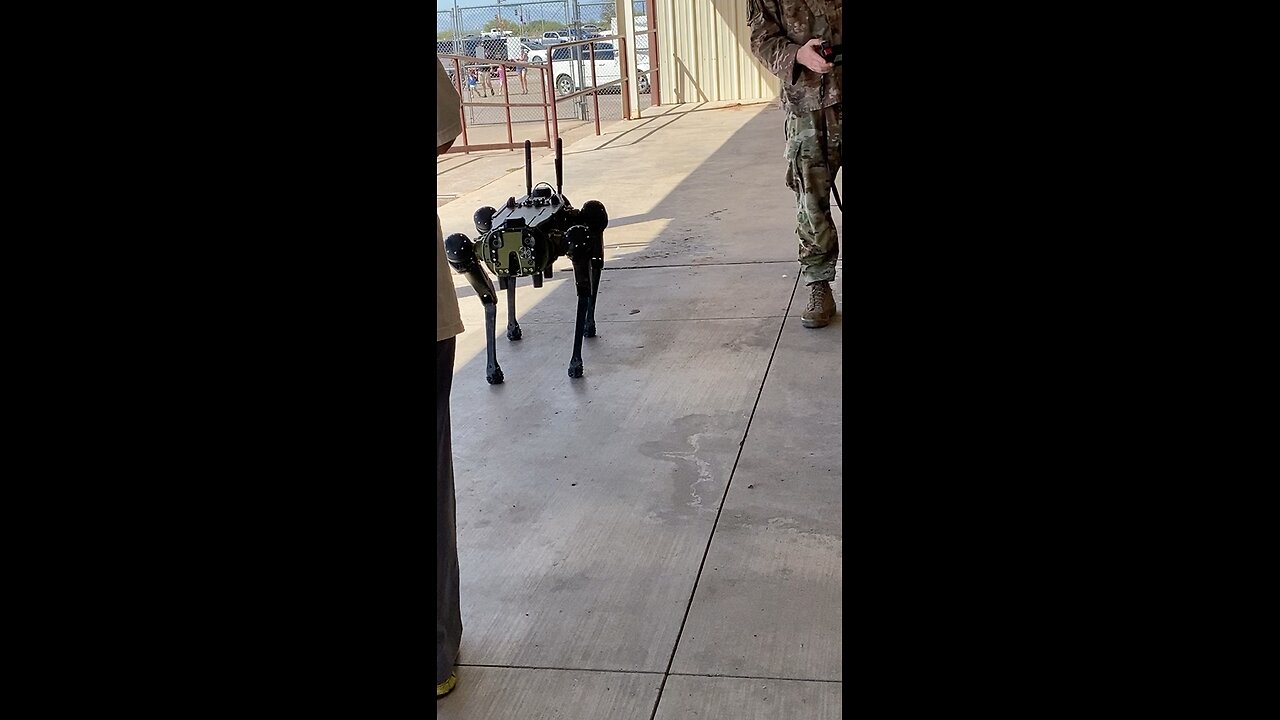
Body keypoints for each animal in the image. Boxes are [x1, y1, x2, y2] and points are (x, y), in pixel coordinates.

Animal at [445, 135, 609, 381]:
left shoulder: (576, 240)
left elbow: (583, 287)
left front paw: (575, 362)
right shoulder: (473, 251)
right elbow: (488, 298)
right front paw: (493, 368)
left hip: (591, 222)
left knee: (595, 250)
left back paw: (589, 325)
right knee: (506, 281)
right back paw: (512, 328)